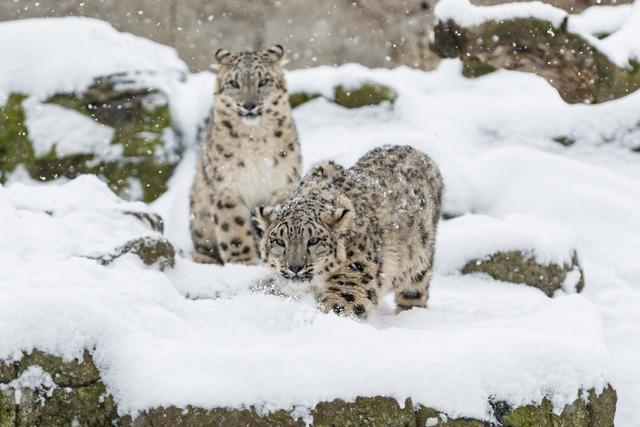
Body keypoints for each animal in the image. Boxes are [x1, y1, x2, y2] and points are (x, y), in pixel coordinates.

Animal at [189, 43, 302, 264]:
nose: (249, 105)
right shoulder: (227, 187)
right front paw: (244, 263)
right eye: (234, 83)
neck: (255, 141)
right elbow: (234, 230)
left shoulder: (283, 182)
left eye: (263, 81)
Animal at [252, 147, 442, 318]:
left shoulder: (352, 282)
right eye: (279, 241)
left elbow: (338, 308)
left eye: (313, 240)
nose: (295, 267)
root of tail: (420, 153)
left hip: (418, 263)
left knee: (415, 291)